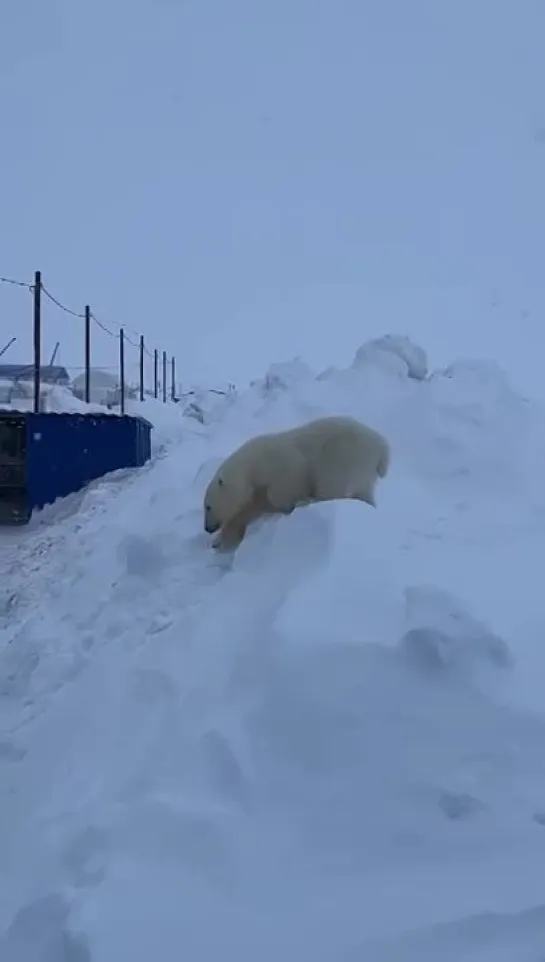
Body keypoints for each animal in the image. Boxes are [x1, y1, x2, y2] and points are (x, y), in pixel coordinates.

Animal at [203, 412, 386, 548]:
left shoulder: (283, 464)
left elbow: (281, 489)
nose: (207, 528)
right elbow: (250, 509)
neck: (253, 465)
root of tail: (382, 446)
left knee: (332, 484)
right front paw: (220, 541)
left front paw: (291, 504)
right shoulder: (256, 491)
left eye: (208, 507)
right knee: (363, 491)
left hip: (345, 454)